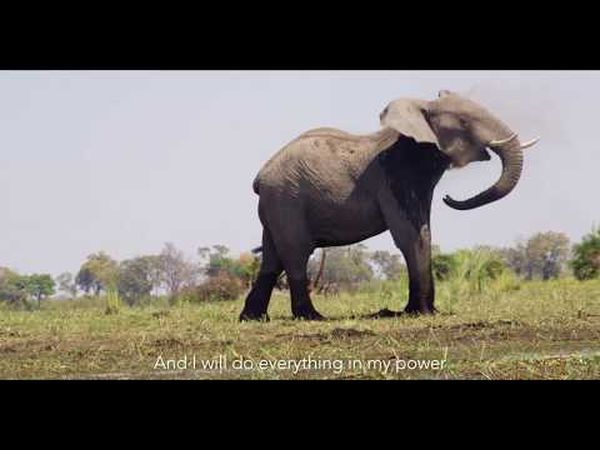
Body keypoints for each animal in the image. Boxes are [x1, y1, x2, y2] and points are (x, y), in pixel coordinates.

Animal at [239, 89, 540, 320]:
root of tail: (260, 176)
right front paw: (420, 313)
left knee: (272, 257)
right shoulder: (397, 177)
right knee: (296, 253)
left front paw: (429, 312)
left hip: (277, 205)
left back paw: (253, 318)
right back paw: (311, 317)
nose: (449, 199)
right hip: (287, 199)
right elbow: (412, 235)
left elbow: (424, 230)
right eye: (464, 122)